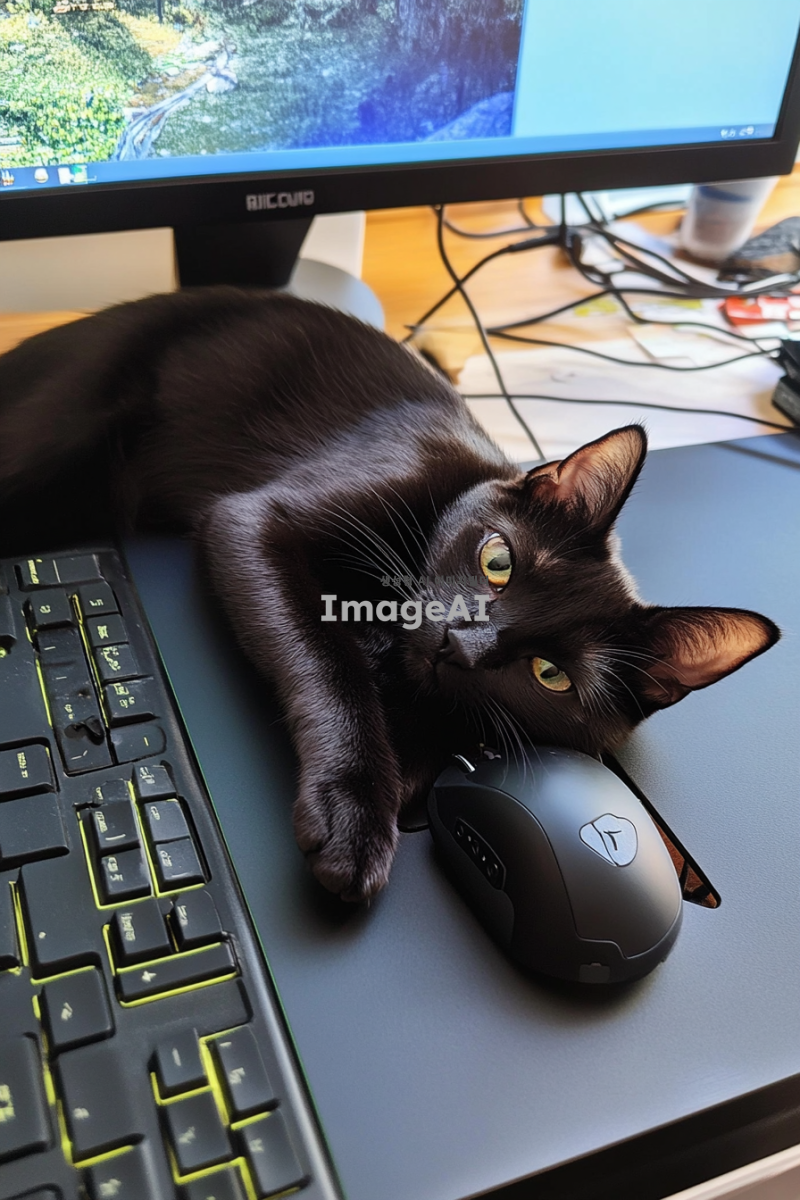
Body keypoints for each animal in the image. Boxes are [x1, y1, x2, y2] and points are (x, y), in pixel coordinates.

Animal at [0, 286, 780, 901]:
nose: (461, 643)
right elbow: (329, 660)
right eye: (498, 561)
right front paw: (353, 813)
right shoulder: (253, 522)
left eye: (551, 675)